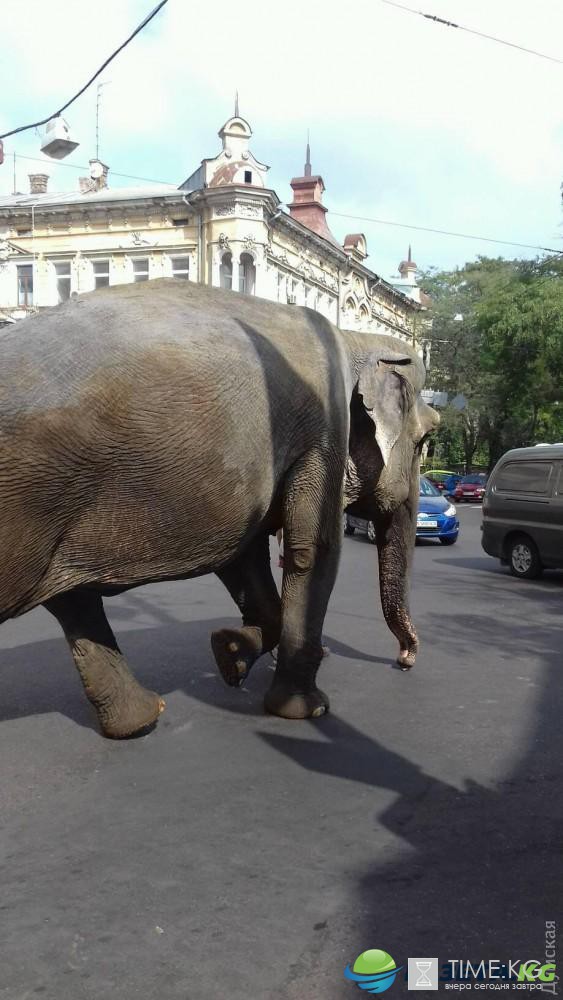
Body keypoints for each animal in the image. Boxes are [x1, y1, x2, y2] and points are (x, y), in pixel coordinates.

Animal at [0, 278, 440, 740]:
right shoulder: (323, 430)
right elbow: (312, 550)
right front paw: (308, 710)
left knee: (74, 603)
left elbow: (244, 559)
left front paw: (229, 653)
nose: (403, 661)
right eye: (427, 439)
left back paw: (141, 720)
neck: (354, 339)